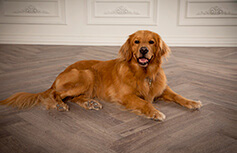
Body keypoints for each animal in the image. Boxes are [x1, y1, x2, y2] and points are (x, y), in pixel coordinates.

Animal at [0, 30, 203, 120]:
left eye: (151, 42)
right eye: (137, 42)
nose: (144, 50)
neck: (143, 73)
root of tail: (58, 76)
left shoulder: (161, 89)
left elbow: (178, 96)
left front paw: (192, 102)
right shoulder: (126, 96)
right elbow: (144, 103)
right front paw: (154, 112)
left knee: (73, 97)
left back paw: (90, 103)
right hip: (87, 74)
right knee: (56, 94)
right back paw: (60, 105)